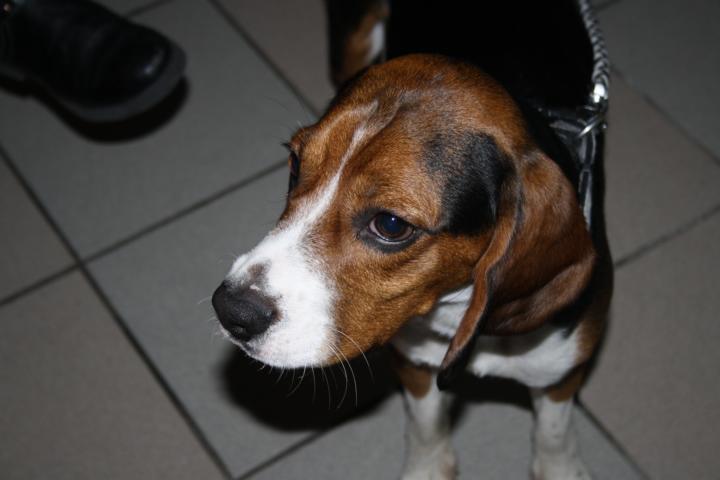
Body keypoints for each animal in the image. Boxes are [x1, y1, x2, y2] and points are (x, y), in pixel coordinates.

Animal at [213, 1, 612, 478]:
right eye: (295, 164)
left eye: (390, 225)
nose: (231, 311)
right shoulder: (413, 362)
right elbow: (426, 423)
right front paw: (428, 467)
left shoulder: (561, 372)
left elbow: (553, 432)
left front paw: (560, 468)